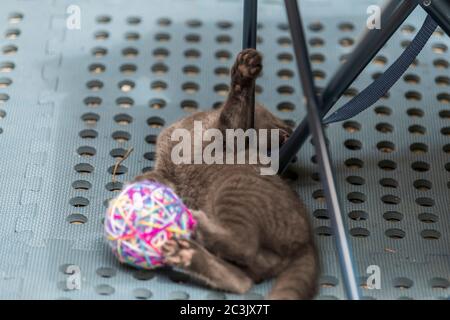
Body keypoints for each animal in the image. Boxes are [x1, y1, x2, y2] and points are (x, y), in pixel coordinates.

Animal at [134, 48, 320, 300]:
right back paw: (185, 252)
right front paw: (142, 186)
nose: (288, 131)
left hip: (234, 190)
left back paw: (195, 225)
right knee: (240, 279)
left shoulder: (226, 132)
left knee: (244, 244)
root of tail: (306, 244)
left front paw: (243, 72)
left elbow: (233, 111)